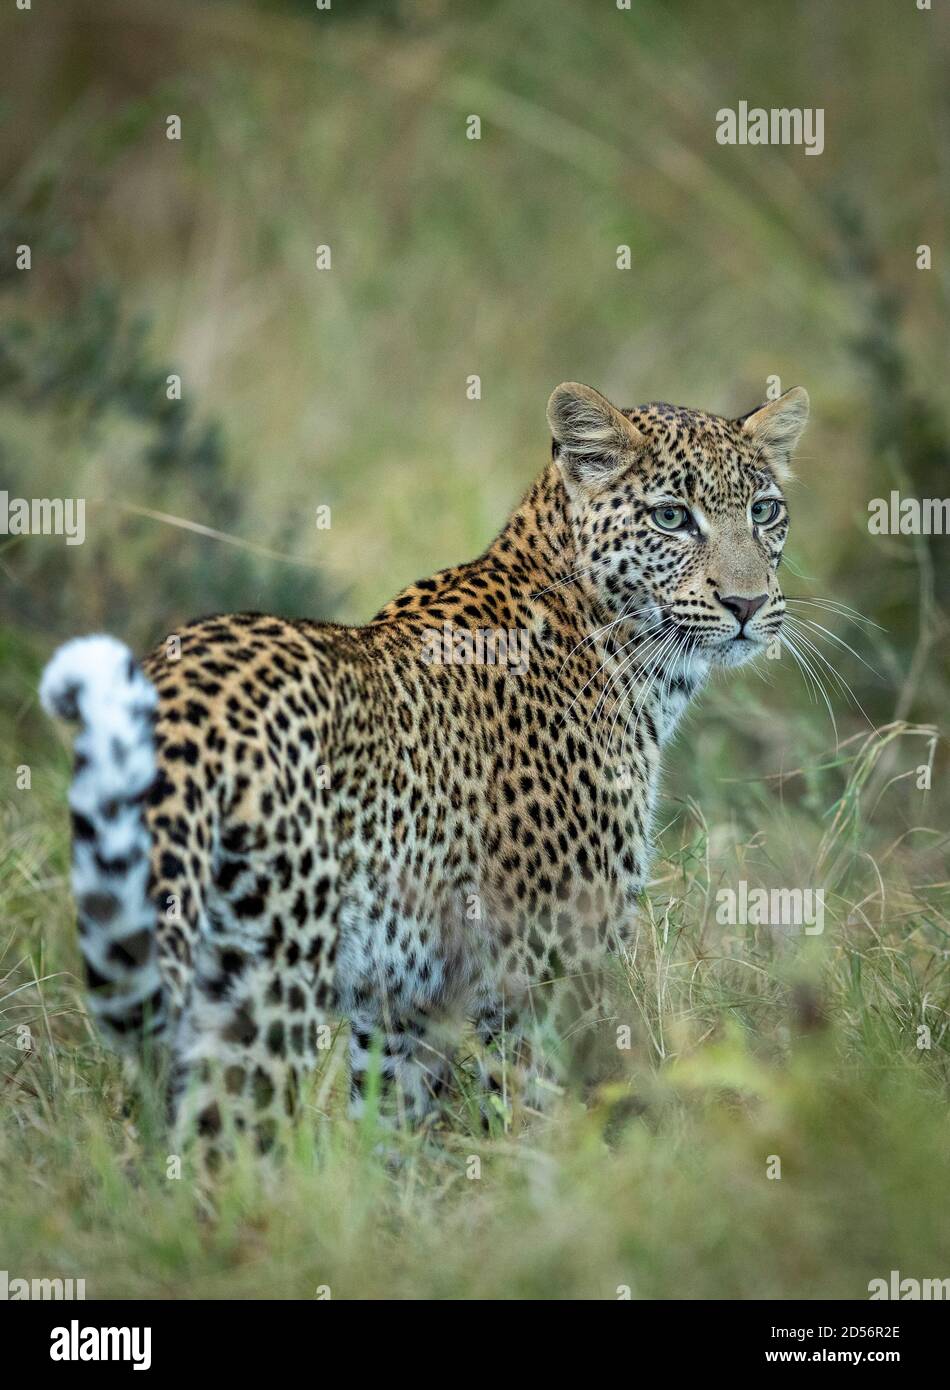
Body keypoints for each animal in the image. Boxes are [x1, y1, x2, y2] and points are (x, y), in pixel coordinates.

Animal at [40, 380, 806, 1162]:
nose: (746, 603)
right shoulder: (546, 968)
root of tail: (177, 686)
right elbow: (539, 1119)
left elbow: (394, 1130)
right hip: (269, 979)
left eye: (764, 510)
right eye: (671, 517)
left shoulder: (407, 998)